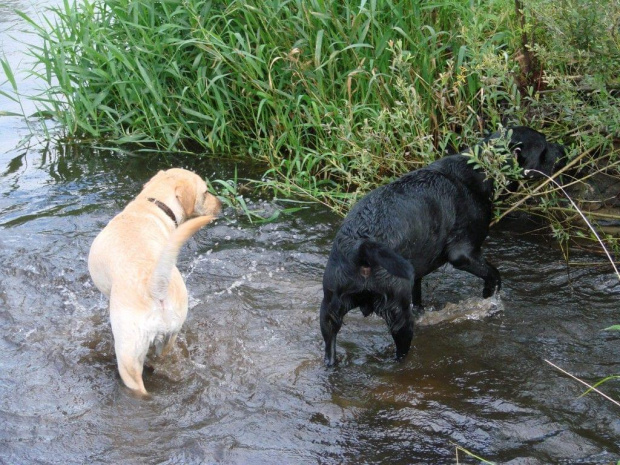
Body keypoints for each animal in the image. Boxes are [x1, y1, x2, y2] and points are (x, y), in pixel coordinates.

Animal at [88, 169, 222, 394]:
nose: (221, 204)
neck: (153, 205)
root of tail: (155, 286)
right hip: (171, 333)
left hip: (128, 354)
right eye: (205, 192)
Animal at [320, 125, 568, 364]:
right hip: (397, 313)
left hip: (330, 309)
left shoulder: (416, 275)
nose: (564, 150)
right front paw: (489, 299)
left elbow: (419, 298)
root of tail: (361, 247)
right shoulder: (463, 253)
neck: (480, 169)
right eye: (544, 147)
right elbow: (494, 275)